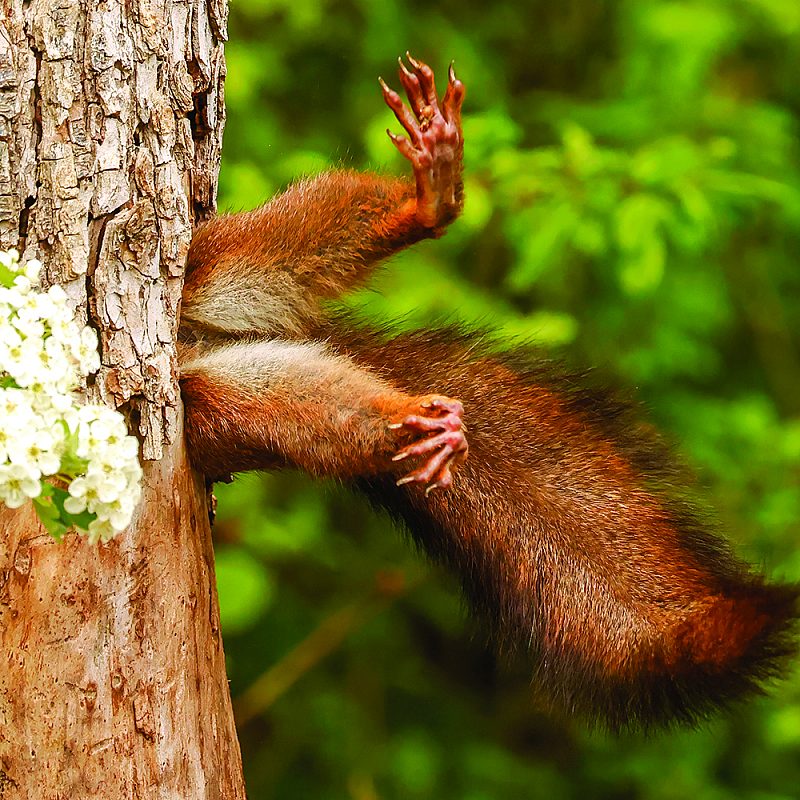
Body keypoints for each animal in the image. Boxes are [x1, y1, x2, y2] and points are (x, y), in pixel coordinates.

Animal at [178, 55, 799, 730]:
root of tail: (198, 344)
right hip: (218, 403)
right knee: (307, 409)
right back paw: (413, 423)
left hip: (212, 263)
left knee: (290, 236)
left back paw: (428, 198)